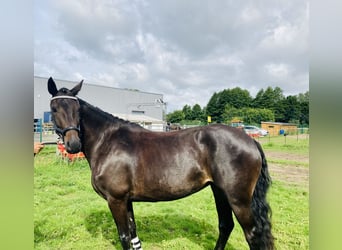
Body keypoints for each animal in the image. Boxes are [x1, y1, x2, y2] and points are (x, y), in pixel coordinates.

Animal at [48, 77, 274, 249]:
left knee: (252, 234)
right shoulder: (126, 200)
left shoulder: (116, 200)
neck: (108, 141)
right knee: (225, 225)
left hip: (239, 199)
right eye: (54, 108)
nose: (73, 144)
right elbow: (133, 235)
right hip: (219, 191)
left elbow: (124, 237)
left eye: (77, 109)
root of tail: (250, 140)